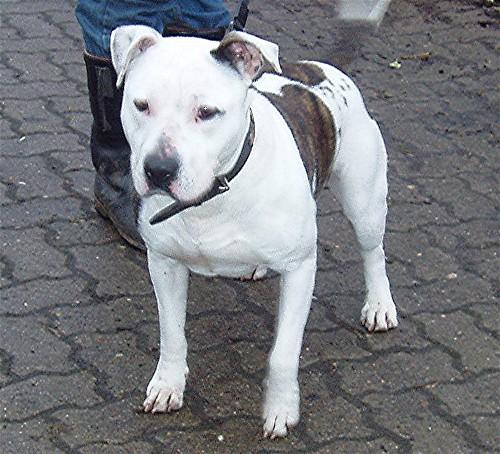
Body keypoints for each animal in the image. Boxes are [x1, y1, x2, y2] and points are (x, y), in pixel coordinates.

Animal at [110, 25, 398, 440]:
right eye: (141, 105)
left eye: (207, 112)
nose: (159, 169)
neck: (212, 198)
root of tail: (319, 67)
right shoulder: (164, 263)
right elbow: (172, 334)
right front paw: (167, 385)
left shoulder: (300, 269)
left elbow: (283, 354)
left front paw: (281, 410)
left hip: (365, 202)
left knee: (373, 253)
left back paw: (379, 305)